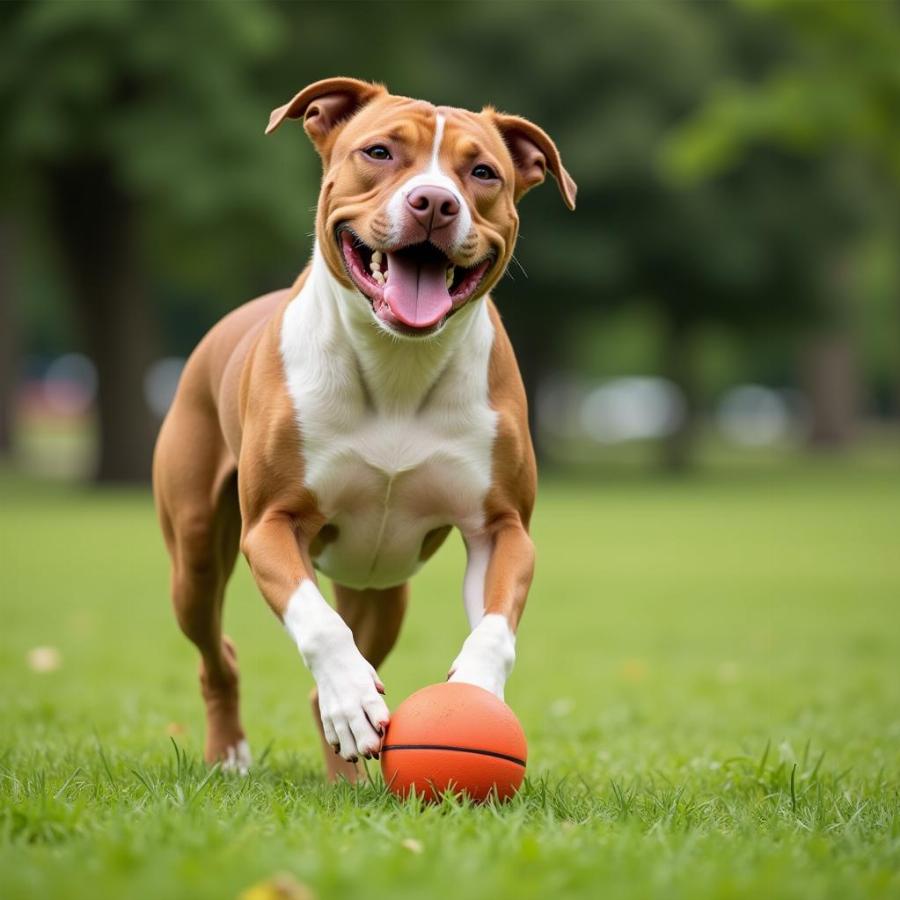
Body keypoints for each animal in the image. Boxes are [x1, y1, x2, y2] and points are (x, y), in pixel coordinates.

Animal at [153, 77, 576, 780]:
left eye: (483, 172)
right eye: (378, 152)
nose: (435, 202)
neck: (398, 363)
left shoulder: (501, 527)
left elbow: (494, 626)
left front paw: (473, 693)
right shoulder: (272, 523)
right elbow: (318, 622)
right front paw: (351, 697)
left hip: (381, 592)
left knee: (340, 659)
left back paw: (343, 777)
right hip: (195, 557)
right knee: (219, 650)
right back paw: (233, 754)